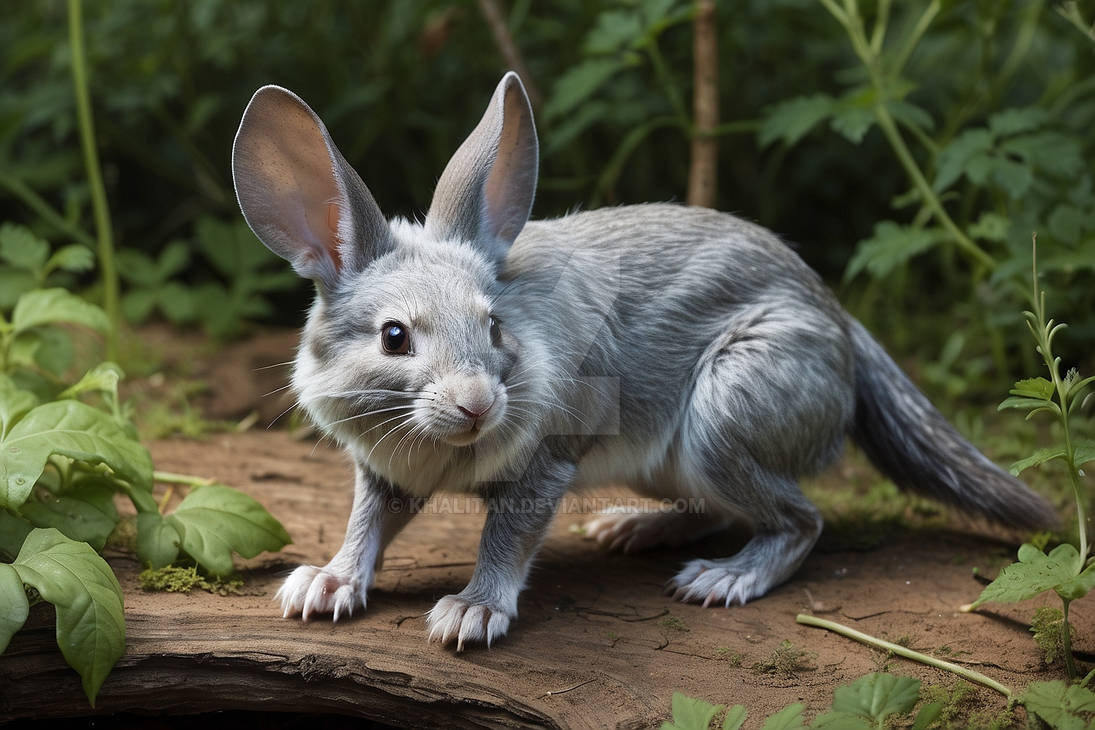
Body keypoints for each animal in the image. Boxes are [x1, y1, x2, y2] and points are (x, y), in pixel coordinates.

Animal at [231, 72, 1057, 651]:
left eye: (493, 326)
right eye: (394, 336)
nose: (478, 403)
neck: (435, 444)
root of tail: (839, 324)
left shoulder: (544, 467)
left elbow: (506, 539)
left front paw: (470, 612)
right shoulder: (383, 473)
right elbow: (365, 525)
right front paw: (324, 586)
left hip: (721, 419)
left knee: (801, 519)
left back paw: (722, 579)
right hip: (676, 459)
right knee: (724, 508)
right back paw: (634, 529)